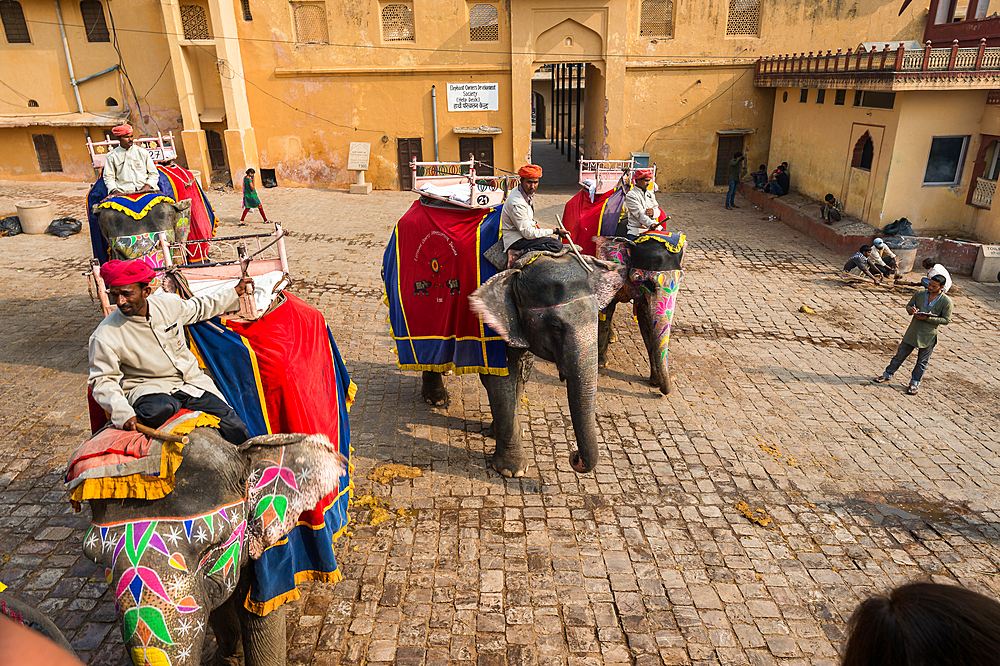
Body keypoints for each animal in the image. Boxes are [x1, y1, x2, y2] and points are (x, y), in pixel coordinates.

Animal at [418, 248, 620, 472]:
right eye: (555, 326)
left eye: (596, 315)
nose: (574, 457)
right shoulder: (489, 321)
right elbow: (501, 378)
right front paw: (512, 469)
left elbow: (521, 374)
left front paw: (505, 432)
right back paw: (436, 399)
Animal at [596, 232, 684, 394]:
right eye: (648, 283)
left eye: (680, 282)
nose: (674, 379)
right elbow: (606, 309)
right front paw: (601, 363)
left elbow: (647, 321)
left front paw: (654, 381)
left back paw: (612, 337)